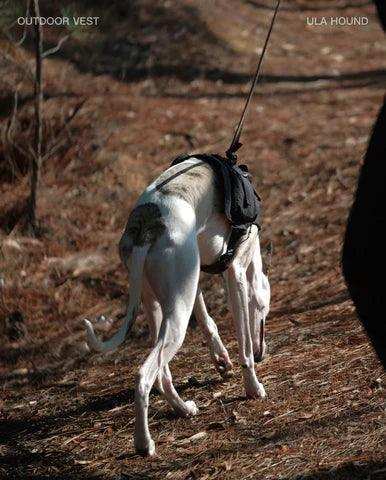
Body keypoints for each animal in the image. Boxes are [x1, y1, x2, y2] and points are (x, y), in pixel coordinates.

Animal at [85, 158, 270, 458]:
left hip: (164, 305)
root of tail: (144, 229)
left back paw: (183, 409)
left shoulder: (195, 282)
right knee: (145, 375)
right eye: (264, 310)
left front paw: (222, 360)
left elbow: (208, 322)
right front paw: (253, 387)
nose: (262, 353)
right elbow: (243, 342)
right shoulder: (236, 275)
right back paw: (144, 443)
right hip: (177, 318)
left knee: (162, 373)